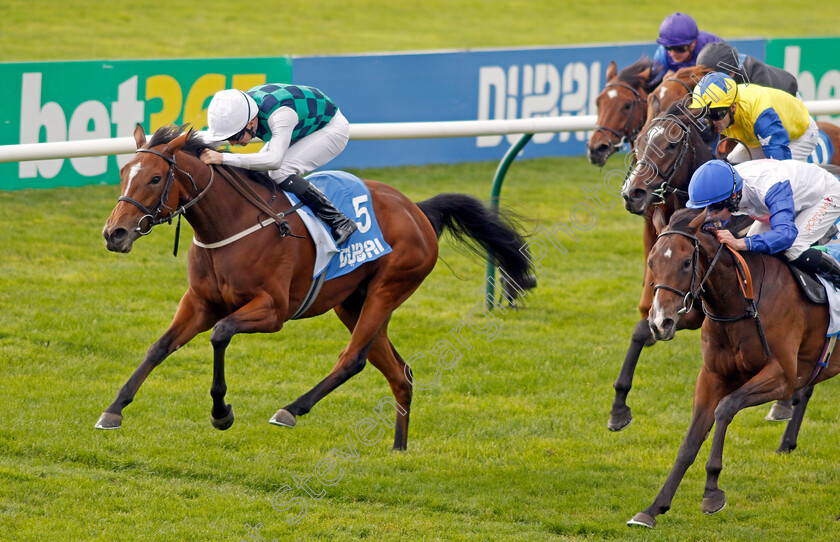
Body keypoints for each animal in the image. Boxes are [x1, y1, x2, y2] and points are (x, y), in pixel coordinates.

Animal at [97, 125, 532, 452]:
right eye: (123, 173)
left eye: (155, 178)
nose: (114, 233)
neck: (231, 226)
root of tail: (418, 210)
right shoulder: (200, 302)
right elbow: (160, 347)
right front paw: (114, 410)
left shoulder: (272, 311)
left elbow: (220, 334)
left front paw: (222, 413)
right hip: (352, 303)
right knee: (400, 372)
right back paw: (398, 449)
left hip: (388, 288)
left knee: (352, 359)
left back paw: (291, 409)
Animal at [632, 209, 840, 532]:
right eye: (651, 262)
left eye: (686, 262)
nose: (660, 322)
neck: (740, 302)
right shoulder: (712, 377)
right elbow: (691, 440)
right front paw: (653, 508)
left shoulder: (782, 377)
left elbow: (726, 407)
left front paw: (711, 493)